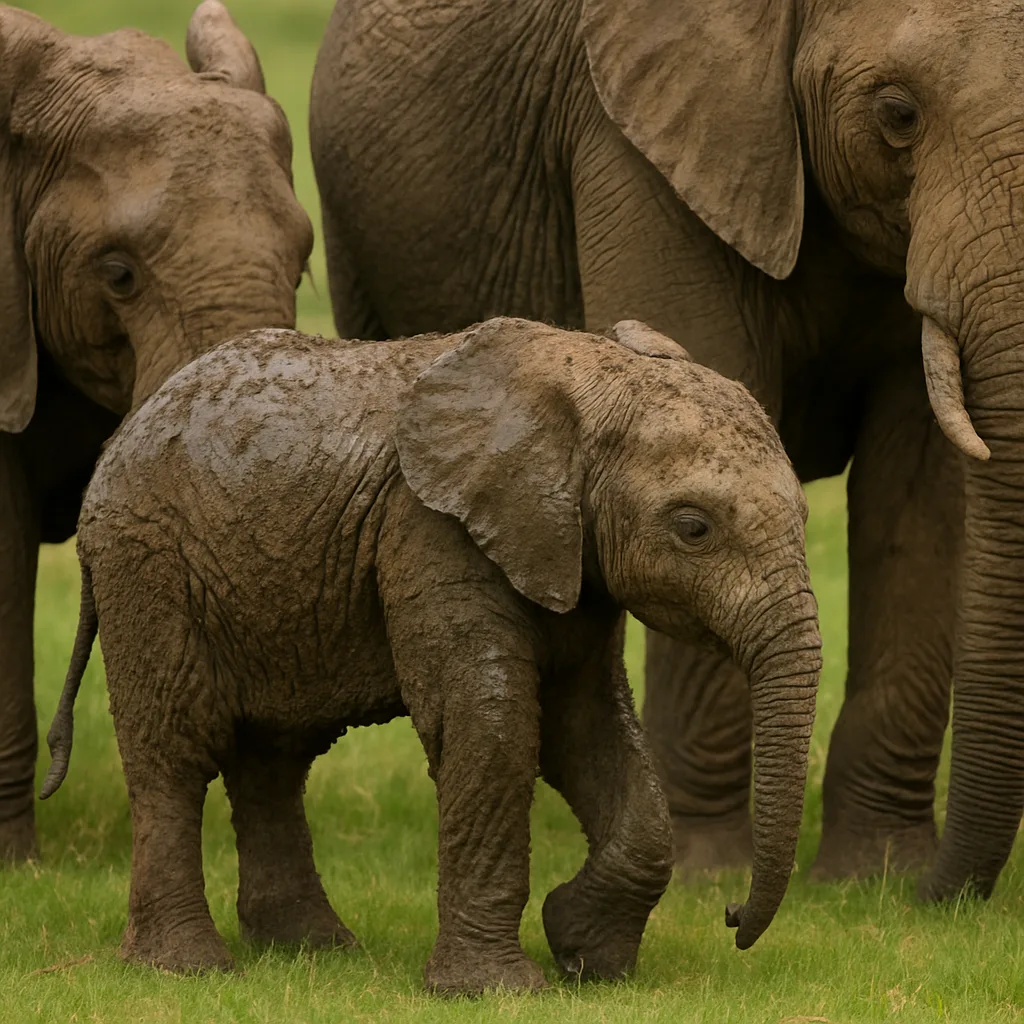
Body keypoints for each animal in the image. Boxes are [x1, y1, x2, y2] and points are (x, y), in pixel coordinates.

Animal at [40, 318, 821, 993]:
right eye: (694, 528)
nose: (730, 916)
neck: (586, 379)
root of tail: (123, 435)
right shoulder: (427, 528)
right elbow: (492, 722)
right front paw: (495, 990)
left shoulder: (574, 556)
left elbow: (587, 727)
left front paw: (585, 956)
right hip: (148, 564)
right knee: (175, 749)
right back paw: (189, 969)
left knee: (272, 757)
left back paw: (315, 951)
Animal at [309, 0, 1024, 897]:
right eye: (898, 114)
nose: (939, 900)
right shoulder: (633, 139)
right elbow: (711, 373)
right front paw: (709, 874)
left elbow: (920, 485)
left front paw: (873, 875)